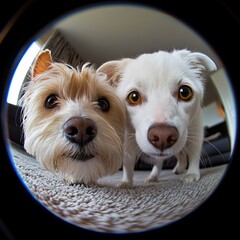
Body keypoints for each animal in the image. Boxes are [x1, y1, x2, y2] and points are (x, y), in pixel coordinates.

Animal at [97, 49, 218, 188]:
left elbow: (194, 154)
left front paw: (192, 173)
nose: (163, 137)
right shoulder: (127, 145)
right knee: (165, 160)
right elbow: (128, 166)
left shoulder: (196, 133)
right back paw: (156, 176)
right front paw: (126, 183)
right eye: (134, 97)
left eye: (185, 92)